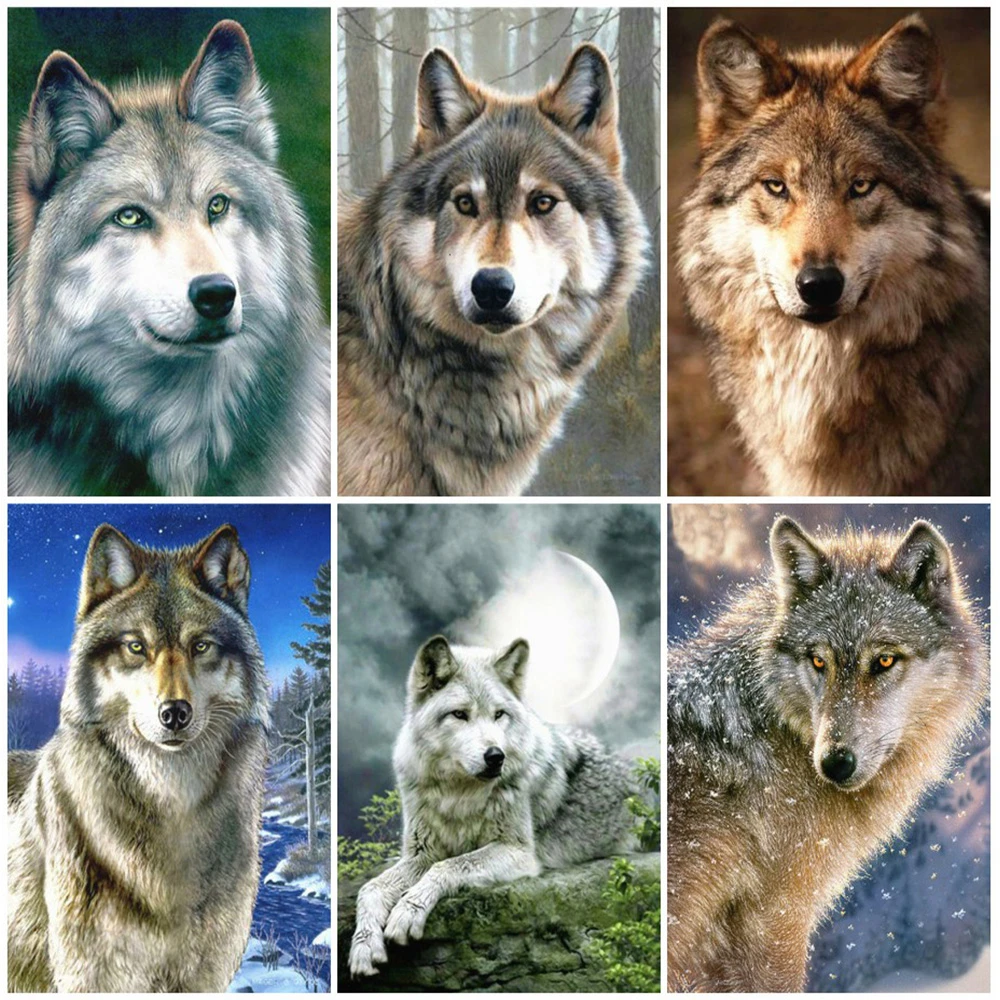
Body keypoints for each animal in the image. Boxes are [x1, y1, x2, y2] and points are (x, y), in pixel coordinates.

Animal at [348, 636, 635, 976]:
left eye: (499, 714)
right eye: (460, 714)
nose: (496, 756)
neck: (458, 795)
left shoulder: (518, 851)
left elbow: (448, 866)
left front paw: (408, 911)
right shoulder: (421, 854)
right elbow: (370, 888)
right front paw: (364, 946)